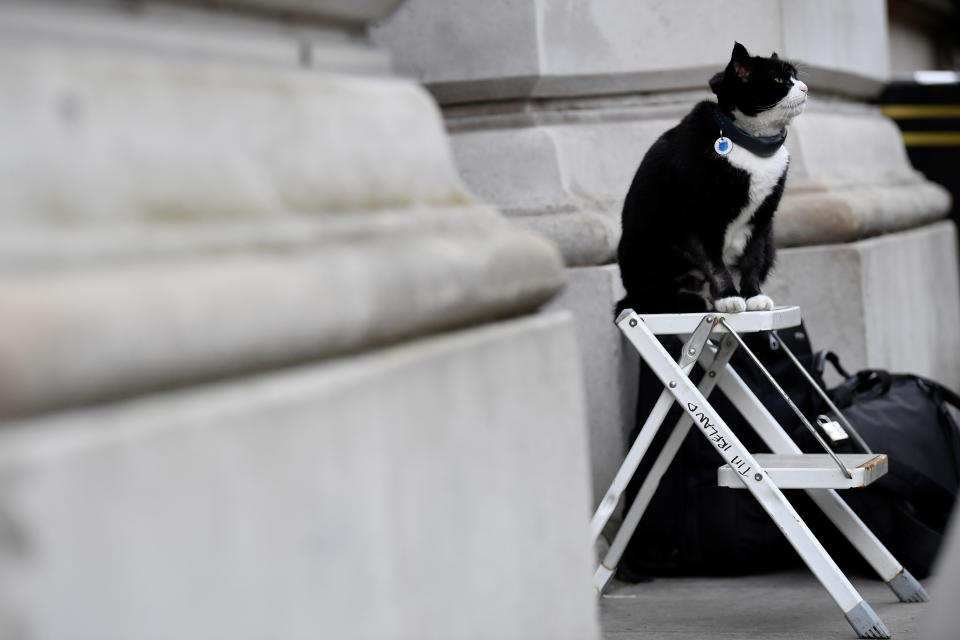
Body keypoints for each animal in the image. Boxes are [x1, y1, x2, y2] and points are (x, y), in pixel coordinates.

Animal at [616, 41, 804, 314]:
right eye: (779, 79)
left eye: (796, 76)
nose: (805, 87)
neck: (752, 146)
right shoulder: (697, 218)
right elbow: (714, 264)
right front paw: (728, 296)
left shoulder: (762, 219)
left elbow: (753, 259)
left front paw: (753, 295)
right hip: (646, 253)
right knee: (647, 299)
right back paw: (699, 300)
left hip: (771, 241)